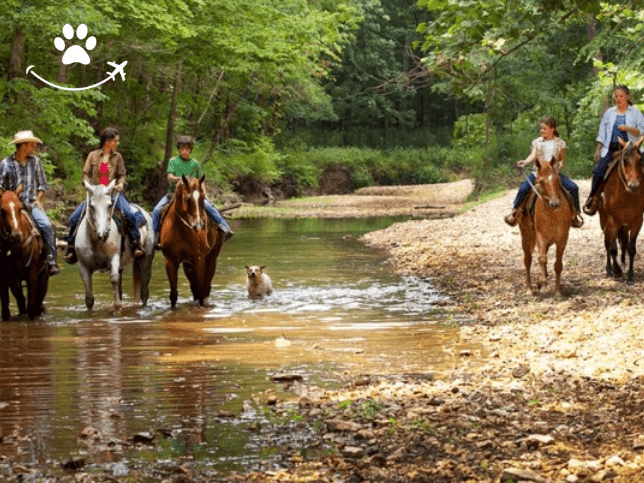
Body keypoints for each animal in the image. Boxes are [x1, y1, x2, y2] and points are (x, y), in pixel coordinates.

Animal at [0, 188, 49, 322]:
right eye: (2, 210)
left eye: (19, 208)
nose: (16, 235)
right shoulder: (5, 277)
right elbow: (6, 309)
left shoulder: (32, 273)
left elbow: (31, 307)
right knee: (21, 301)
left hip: (43, 276)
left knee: (38, 300)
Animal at [74, 180, 155, 312]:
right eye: (92, 206)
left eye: (110, 205)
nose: (104, 234)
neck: (95, 242)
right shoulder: (83, 266)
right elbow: (89, 299)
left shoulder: (114, 258)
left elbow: (114, 279)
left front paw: (117, 307)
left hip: (146, 259)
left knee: (144, 292)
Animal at [158, 176, 224, 308]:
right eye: (187, 199)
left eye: (203, 198)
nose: (198, 226)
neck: (181, 228)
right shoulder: (170, 260)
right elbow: (173, 295)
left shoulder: (199, 259)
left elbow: (201, 291)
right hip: (187, 264)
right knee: (194, 287)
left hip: (212, 258)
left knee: (206, 286)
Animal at [520, 157, 572, 296]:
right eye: (541, 181)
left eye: (557, 179)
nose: (555, 203)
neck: (552, 213)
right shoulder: (540, 236)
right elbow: (542, 258)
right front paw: (544, 287)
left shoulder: (563, 238)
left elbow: (558, 264)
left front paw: (557, 291)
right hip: (526, 236)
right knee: (527, 259)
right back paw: (529, 288)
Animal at [596, 136, 644, 282]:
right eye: (624, 160)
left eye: (640, 159)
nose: (634, 185)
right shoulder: (612, 220)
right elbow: (612, 247)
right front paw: (616, 271)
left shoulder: (637, 221)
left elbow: (631, 247)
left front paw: (630, 274)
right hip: (604, 221)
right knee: (608, 243)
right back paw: (609, 269)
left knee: (623, 244)